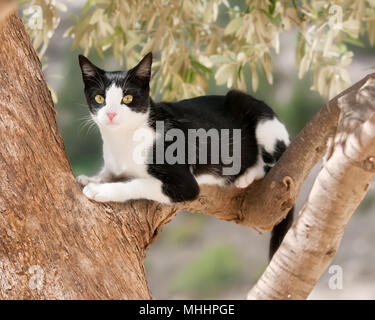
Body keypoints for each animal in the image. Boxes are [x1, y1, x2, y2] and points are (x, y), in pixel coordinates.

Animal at [76, 52, 294, 258]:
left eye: (127, 98)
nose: (111, 114)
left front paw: (100, 189)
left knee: (270, 164)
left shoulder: (184, 184)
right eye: (100, 98)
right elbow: (109, 172)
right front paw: (92, 178)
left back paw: (245, 176)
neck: (122, 139)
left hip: (258, 117)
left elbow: (137, 183)